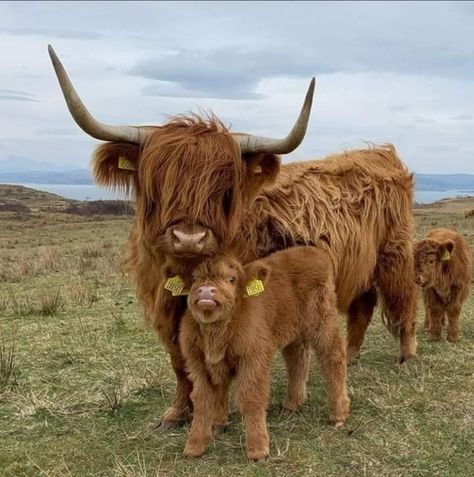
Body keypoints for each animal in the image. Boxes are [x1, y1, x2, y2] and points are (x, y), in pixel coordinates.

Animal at [49, 44, 418, 428]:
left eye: (225, 186)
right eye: (157, 179)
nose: (189, 238)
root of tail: (380, 152)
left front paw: (218, 413)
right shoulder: (167, 312)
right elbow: (180, 364)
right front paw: (177, 412)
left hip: (394, 252)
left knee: (403, 297)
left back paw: (406, 356)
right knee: (363, 304)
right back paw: (353, 354)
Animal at [176, 247, 350, 460]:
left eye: (232, 278)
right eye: (194, 278)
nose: (206, 291)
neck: (215, 334)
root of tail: (313, 251)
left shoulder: (254, 359)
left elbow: (251, 397)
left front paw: (258, 449)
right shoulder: (198, 365)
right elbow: (201, 399)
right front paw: (195, 445)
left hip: (322, 320)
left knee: (333, 357)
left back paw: (339, 413)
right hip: (293, 328)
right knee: (297, 359)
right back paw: (292, 404)